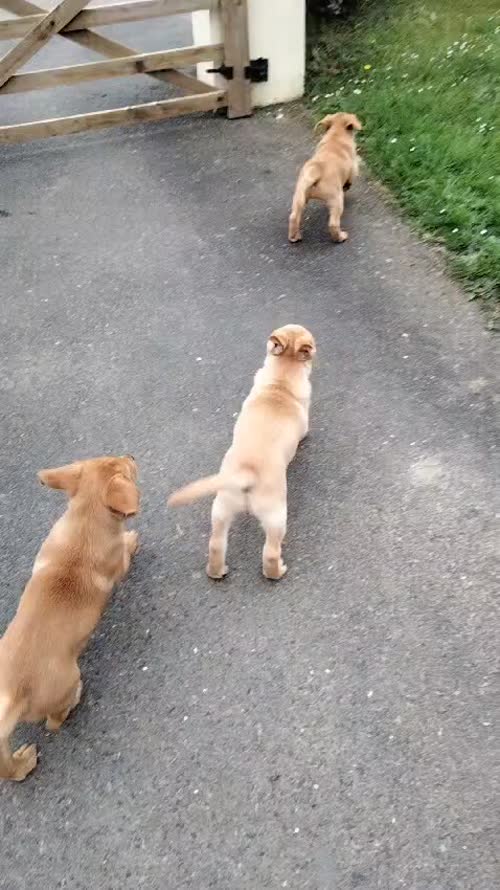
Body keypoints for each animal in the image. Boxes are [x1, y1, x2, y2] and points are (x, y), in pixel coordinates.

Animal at [0, 454, 140, 780]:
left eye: (110, 456)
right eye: (126, 469)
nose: (131, 456)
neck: (84, 526)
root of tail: (15, 692)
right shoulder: (119, 563)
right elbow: (126, 552)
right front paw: (131, 538)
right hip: (67, 680)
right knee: (54, 721)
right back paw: (75, 699)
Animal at [168, 322, 316, 580]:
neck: (280, 383)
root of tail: (246, 473)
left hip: (221, 508)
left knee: (216, 545)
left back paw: (217, 571)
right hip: (276, 516)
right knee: (270, 552)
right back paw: (277, 571)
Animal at [288, 110, 362, 243]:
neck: (336, 135)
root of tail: (316, 171)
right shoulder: (353, 167)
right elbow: (350, 178)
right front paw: (347, 186)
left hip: (299, 197)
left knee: (294, 216)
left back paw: (294, 237)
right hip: (337, 199)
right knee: (333, 224)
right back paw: (341, 237)